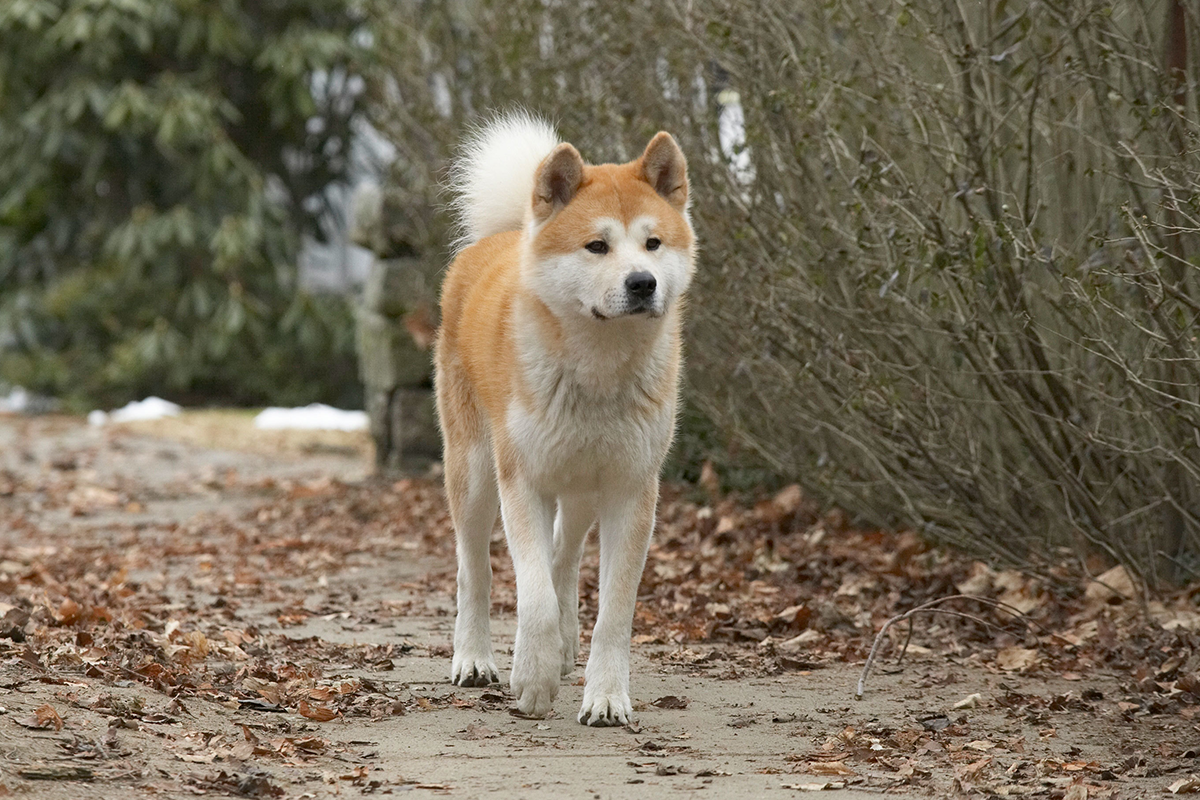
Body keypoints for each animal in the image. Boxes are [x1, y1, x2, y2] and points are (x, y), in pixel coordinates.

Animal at [434, 113, 696, 724]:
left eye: (652, 243)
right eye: (597, 246)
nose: (642, 282)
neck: (598, 369)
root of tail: (504, 236)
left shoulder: (631, 490)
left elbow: (613, 613)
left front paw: (605, 696)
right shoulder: (521, 481)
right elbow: (532, 596)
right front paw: (531, 679)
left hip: (580, 489)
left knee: (564, 556)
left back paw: (565, 645)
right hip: (475, 473)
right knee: (474, 570)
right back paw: (475, 658)